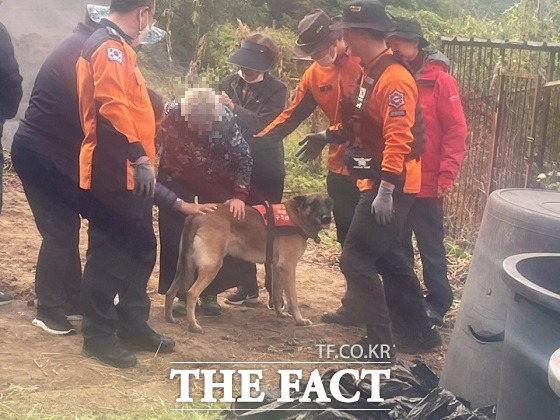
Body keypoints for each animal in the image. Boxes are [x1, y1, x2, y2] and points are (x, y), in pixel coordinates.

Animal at [164, 192, 334, 334]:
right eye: (314, 204)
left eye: (329, 203)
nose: (327, 218)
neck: (296, 216)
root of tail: (196, 215)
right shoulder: (288, 267)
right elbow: (293, 300)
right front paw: (299, 320)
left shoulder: (276, 267)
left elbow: (277, 294)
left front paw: (279, 313)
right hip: (212, 266)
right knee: (191, 293)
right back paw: (193, 325)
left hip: (183, 267)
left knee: (170, 292)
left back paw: (170, 318)